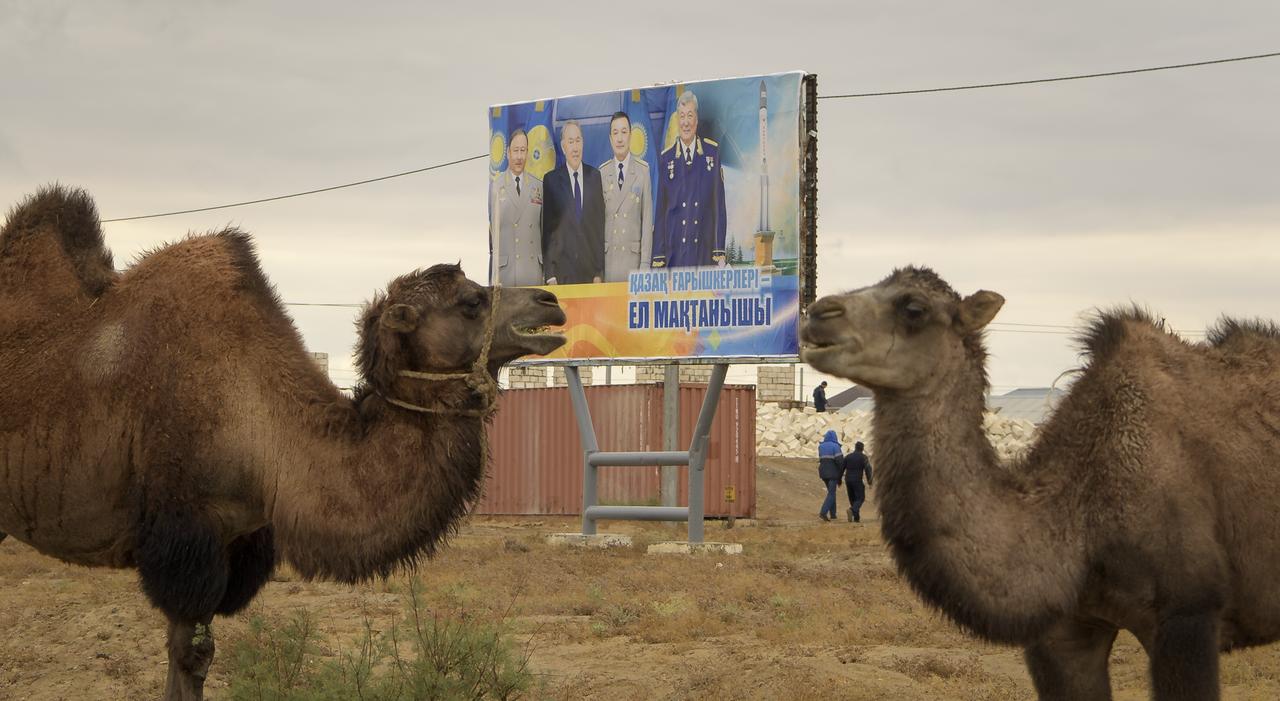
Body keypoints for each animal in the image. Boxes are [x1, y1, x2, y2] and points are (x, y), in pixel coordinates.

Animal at [0, 186, 566, 700]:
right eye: (471, 301)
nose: (552, 303)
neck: (264, 426)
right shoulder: (184, 534)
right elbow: (189, 655)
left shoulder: (240, 540)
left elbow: (196, 656)